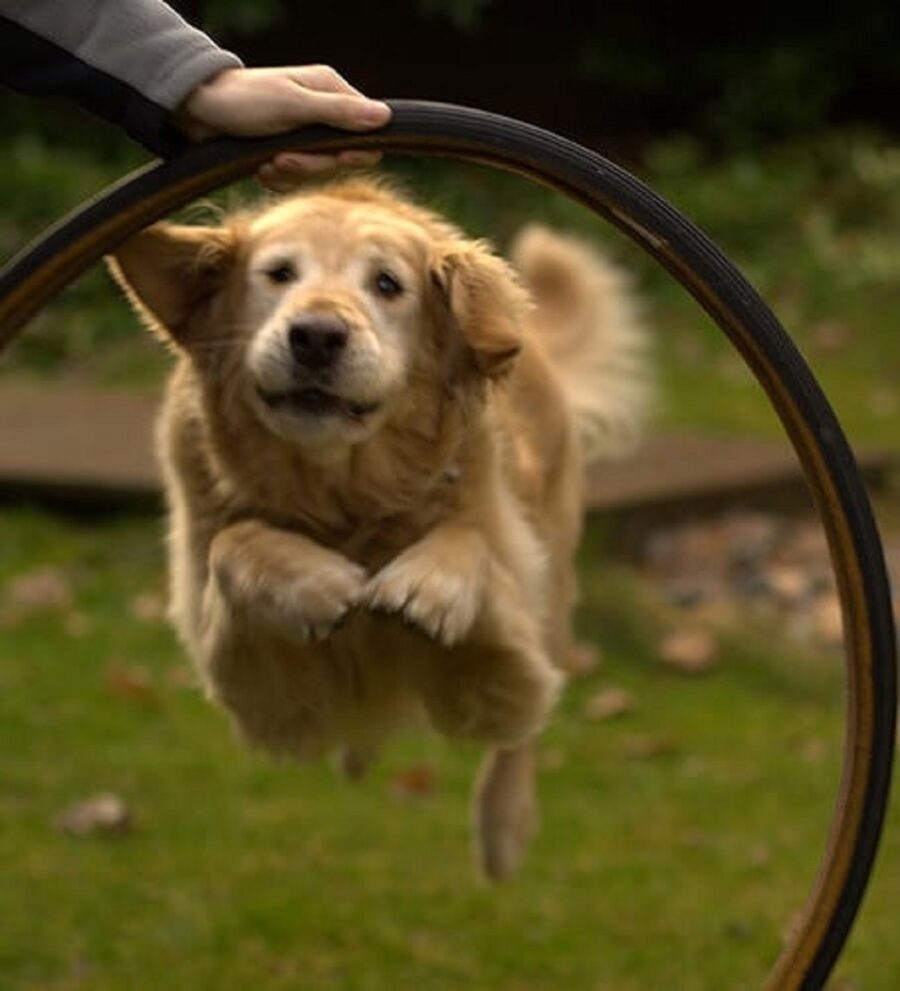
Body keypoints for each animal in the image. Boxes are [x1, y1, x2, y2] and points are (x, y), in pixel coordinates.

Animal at [109, 178, 652, 876]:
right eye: (279, 274)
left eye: (388, 284)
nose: (316, 336)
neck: (345, 497)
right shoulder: (255, 688)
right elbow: (233, 542)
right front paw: (313, 583)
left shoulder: (502, 668)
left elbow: (474, 550)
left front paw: (426, 586)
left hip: (555, 590)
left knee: (524, 732)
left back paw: (503, 825)